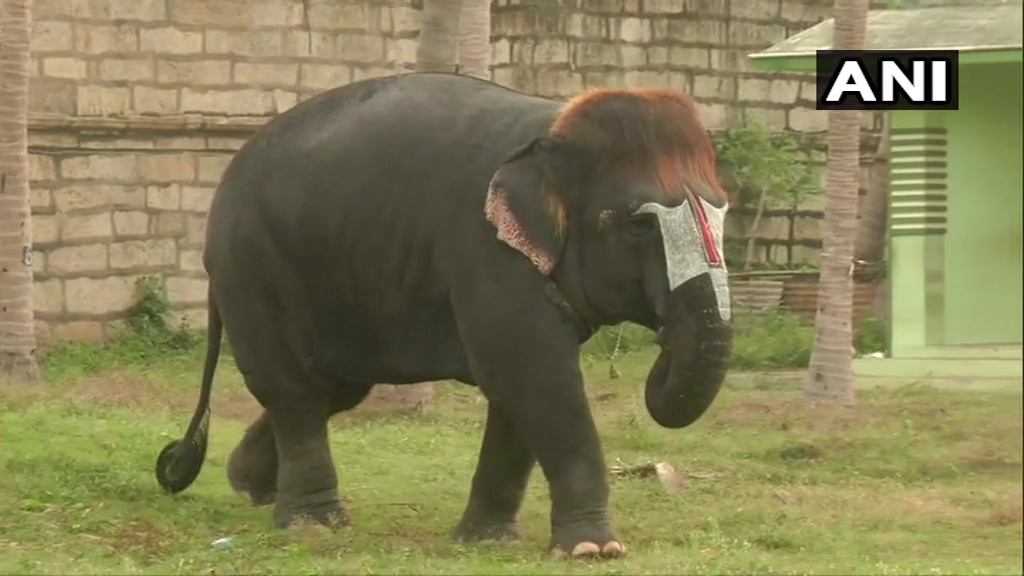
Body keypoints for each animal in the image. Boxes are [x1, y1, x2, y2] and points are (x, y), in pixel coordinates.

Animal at [154, 72, 734, 559]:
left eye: (724, 209)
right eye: (639, 226)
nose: (662, 348)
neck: (554, 127)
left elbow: (519, 386)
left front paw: (489, 540)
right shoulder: (485, 249)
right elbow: (533, 372)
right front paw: (595, 551)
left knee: (333, 387)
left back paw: (250, 486)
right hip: (254, 263)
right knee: (294, 387)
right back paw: (313, 524)